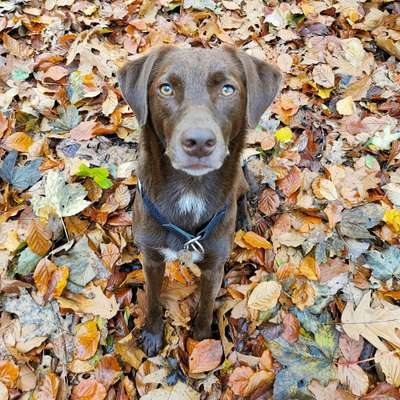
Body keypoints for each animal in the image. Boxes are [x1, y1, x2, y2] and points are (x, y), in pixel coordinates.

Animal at [118, 44, 282, 356]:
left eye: (228, 89)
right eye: (166, 88)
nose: (199, 142)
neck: (189, 190)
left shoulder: (214, 266)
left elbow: (206, 308)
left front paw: (203, 339)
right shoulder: (151, 258)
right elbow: (153, 300)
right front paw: (153, 334)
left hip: (239, 182)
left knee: (242, 193)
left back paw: (244, 217)